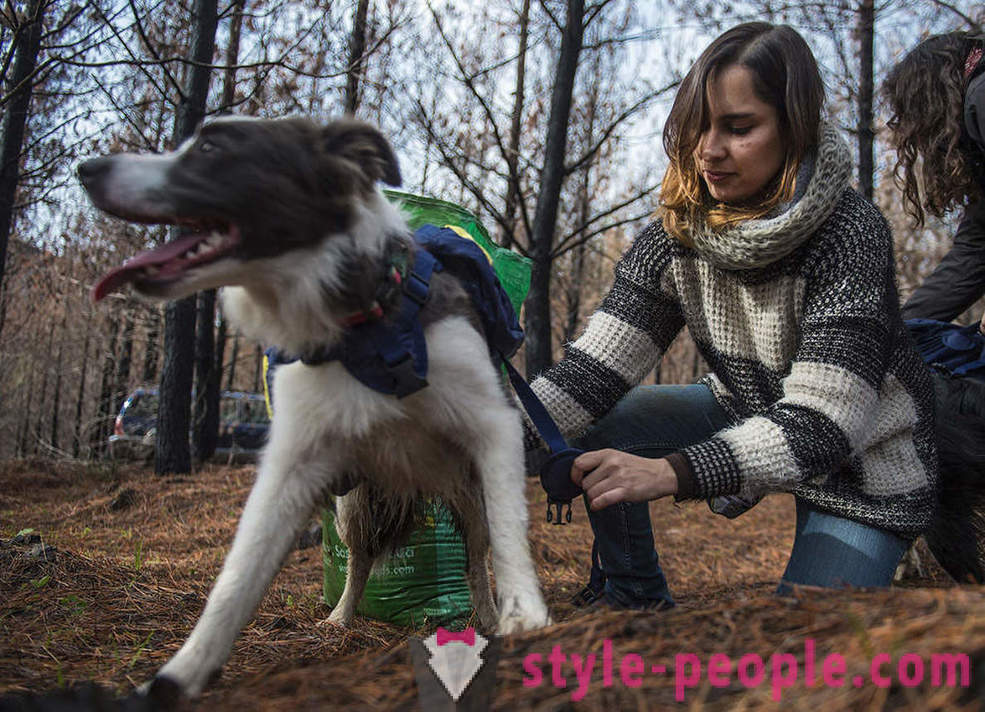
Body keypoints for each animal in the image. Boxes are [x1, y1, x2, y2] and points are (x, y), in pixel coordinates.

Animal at [77, 115, 552, 700]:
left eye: (210, 146)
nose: (88, 167)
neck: (367, 327)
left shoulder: (492, 427)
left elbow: (508, 536)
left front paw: (524, 615)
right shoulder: (294, 466)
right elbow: (236, 578)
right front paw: (178, 675)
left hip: (465, 493)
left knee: (476, 555)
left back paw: (484, 615)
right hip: (354, 504)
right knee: (362, 561)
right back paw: (340, 619)